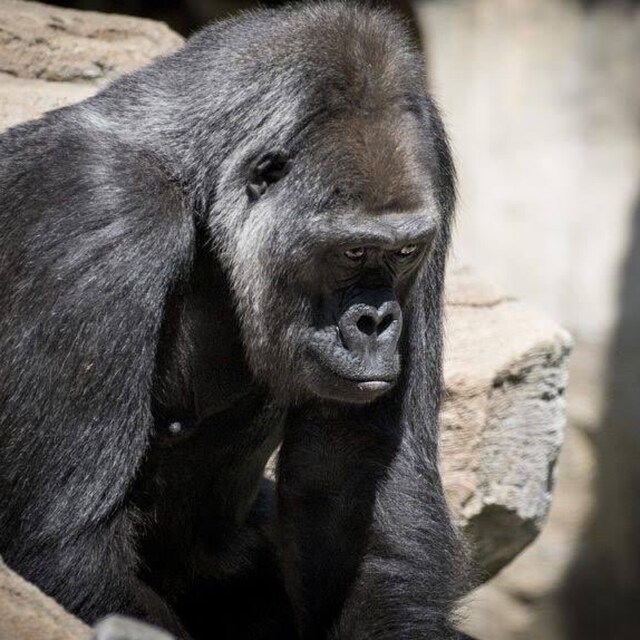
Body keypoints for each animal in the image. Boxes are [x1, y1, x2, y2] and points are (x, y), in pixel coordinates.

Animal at [0, 3, 468, 638]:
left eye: (403, 253)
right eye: (351, 252)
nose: (377, 323)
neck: (197, 178)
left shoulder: (433, 168)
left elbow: (359, 485)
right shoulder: (102, 205)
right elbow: (66, 544)